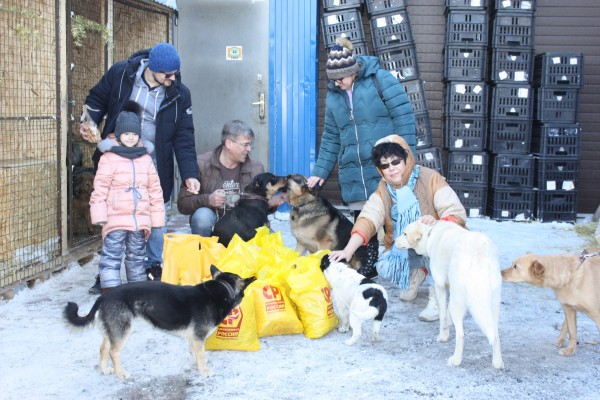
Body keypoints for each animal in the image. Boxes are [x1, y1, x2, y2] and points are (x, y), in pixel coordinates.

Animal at [63, 266, 255, 378]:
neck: (222, 290)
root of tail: (103, 296)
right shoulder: (199, 337)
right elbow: (201, 355)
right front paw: (204, 371)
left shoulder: (193, 338)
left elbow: (194, 354)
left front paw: (197, 367)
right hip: (122, 330)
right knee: (113, 352)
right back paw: (120, 373)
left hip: (113, 329)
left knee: (103, 348)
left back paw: (104, 370)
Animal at [396, 219, 504, 368]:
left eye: (405, 233)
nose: (395, 241)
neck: (430, 233)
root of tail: (479, 253)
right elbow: (446, 315)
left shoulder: (440, 286)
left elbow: (442, 316)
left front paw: (443, 336)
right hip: (492, 304)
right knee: (495, 335)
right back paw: (497, 362)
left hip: (458, 302)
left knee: (461, 335)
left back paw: (456, 360)